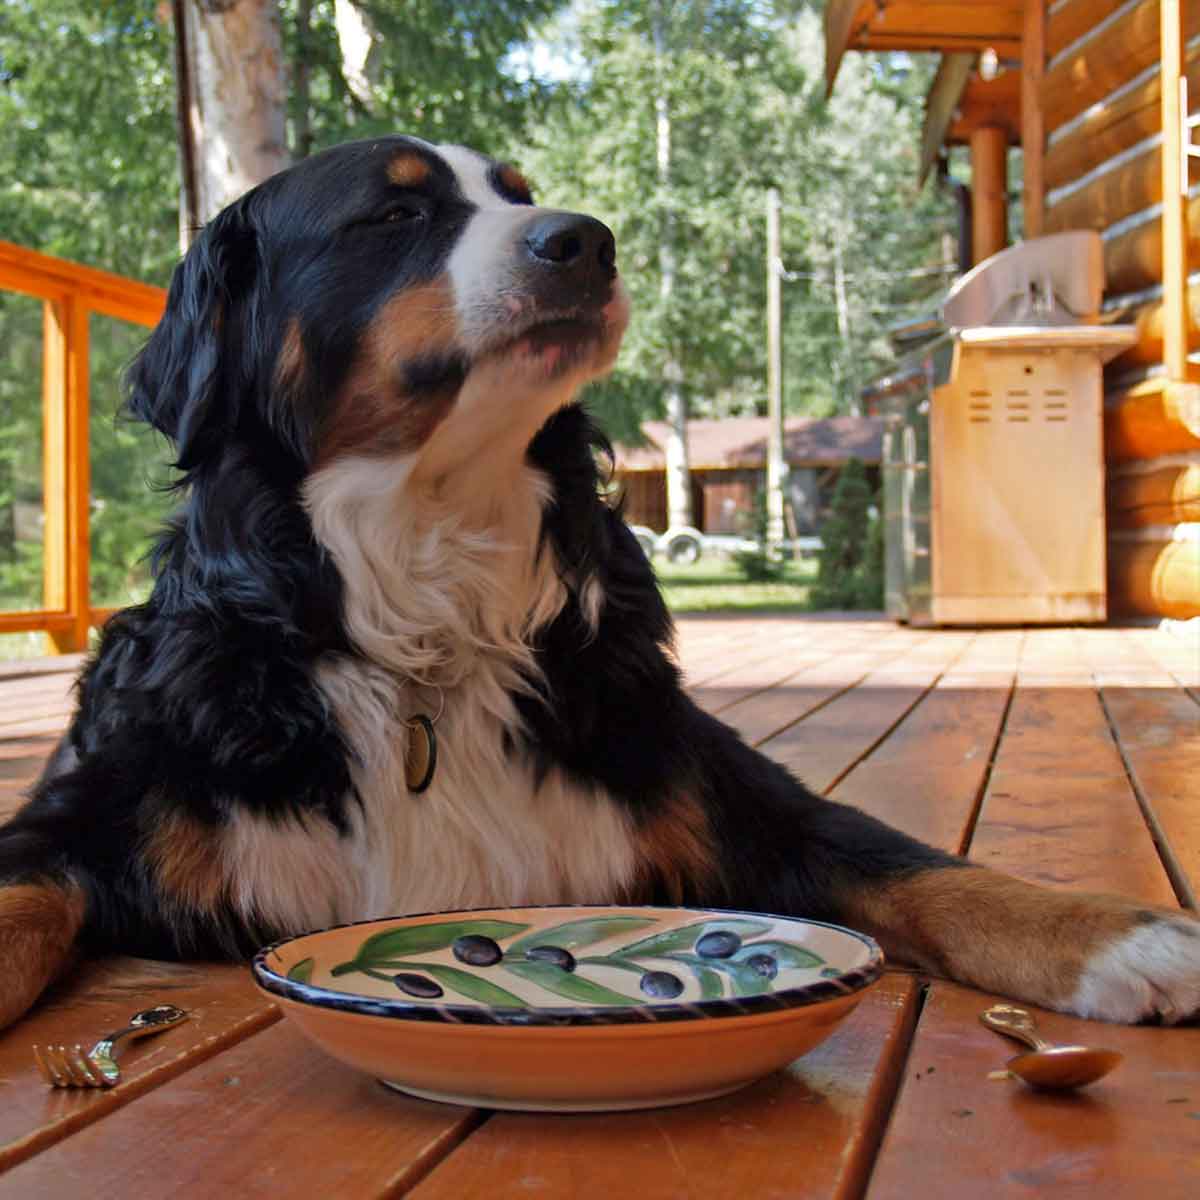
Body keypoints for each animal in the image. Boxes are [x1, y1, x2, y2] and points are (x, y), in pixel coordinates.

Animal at [2, 133, 1200, 1032]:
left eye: (521, 195)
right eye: (395, 215)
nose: (586, 241)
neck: (423, 606)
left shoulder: (712, 782)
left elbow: (912, 863)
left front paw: (1110, 933)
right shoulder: (92, 807)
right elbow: (22, 902)